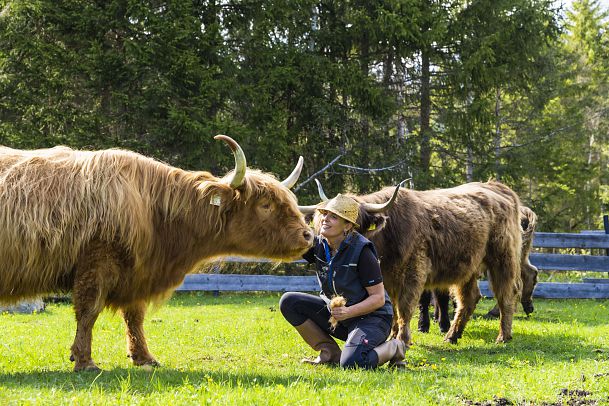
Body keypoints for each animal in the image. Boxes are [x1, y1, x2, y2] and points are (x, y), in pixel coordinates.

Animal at [0, 136, 314, 372]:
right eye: (265, 205)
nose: (308, 235)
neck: (152, 209)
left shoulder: (138, 271)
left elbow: (135, 316)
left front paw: (144, 358)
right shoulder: (96, 262)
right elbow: (88, 312)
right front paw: (84, 360)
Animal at [314, 181, 524, 348]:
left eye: (357, 223)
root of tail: (497, 187)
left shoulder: (413, 271)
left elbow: (405, 307)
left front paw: (403, 339)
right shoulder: (387, 278)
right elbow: (394, 308)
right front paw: (392, 336)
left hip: (502, 258)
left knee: (506, 293)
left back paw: (503, 337)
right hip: (467, 265)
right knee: (469, 298)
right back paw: (452, 336)